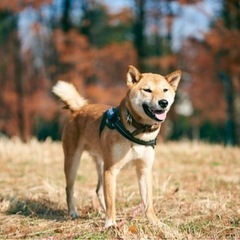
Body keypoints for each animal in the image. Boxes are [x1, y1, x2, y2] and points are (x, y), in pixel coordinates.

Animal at [52, 65, 180, 227]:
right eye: (147, 90)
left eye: (165, 90)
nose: (163, 102)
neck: (139, 131)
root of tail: (79, 109)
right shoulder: (111, 170)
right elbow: (111, 201)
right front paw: (110, 224)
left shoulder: (144, 170)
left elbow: (148, 203)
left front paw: (155, 222)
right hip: (73, 161)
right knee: (70, 188)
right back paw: (73, 212)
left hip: (102, 164)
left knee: (99, 190)